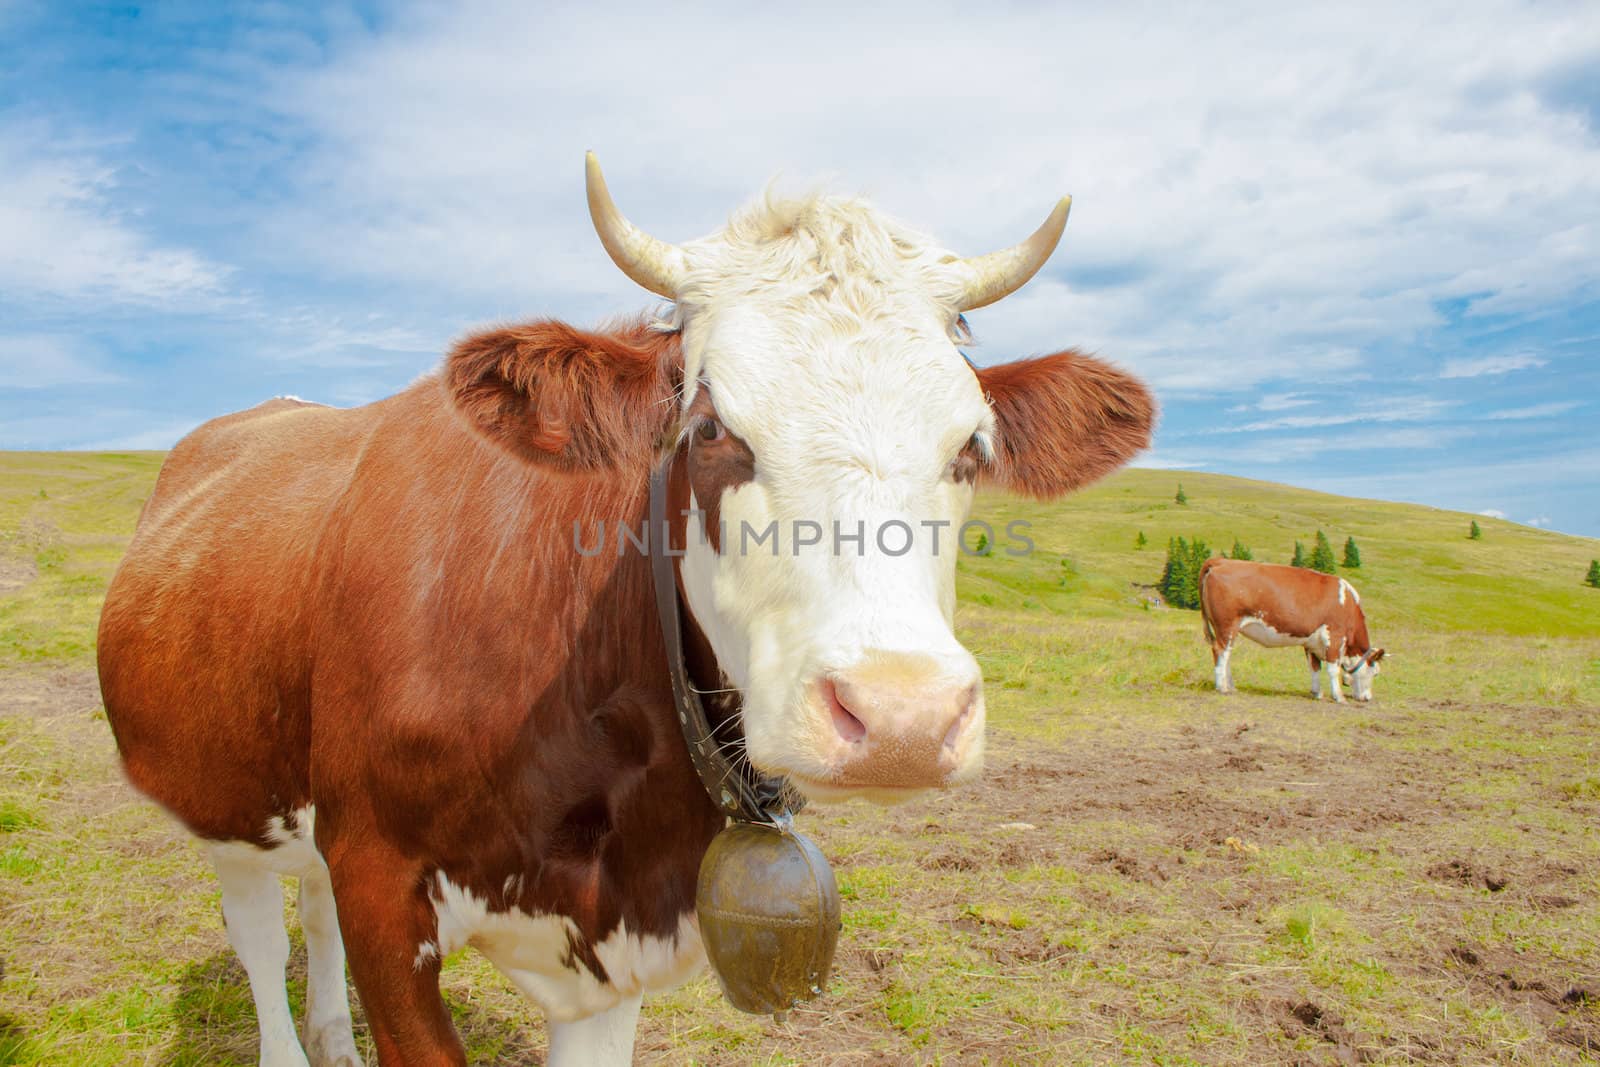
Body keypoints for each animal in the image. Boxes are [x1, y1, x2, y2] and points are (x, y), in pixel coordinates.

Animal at [96, 151, 1152, 1067]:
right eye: (712, 424)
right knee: (260, 939)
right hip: (220, 788)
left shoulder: (617, 950)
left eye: (972, 443)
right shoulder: (380, 886)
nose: (902, 716)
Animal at [1203, 556, 1388, 703]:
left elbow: (1314, 668)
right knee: (1220, 651)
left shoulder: (1312, 642)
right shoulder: (1334, 636)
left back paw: (1231, 686)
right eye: (1376, 673)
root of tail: (1220, 561)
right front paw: (1339, 697)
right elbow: (1332, 669)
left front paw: (1317, 693)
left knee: (1226, 653)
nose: (1368, 698)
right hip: (1227, 625)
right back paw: (1222, 687)